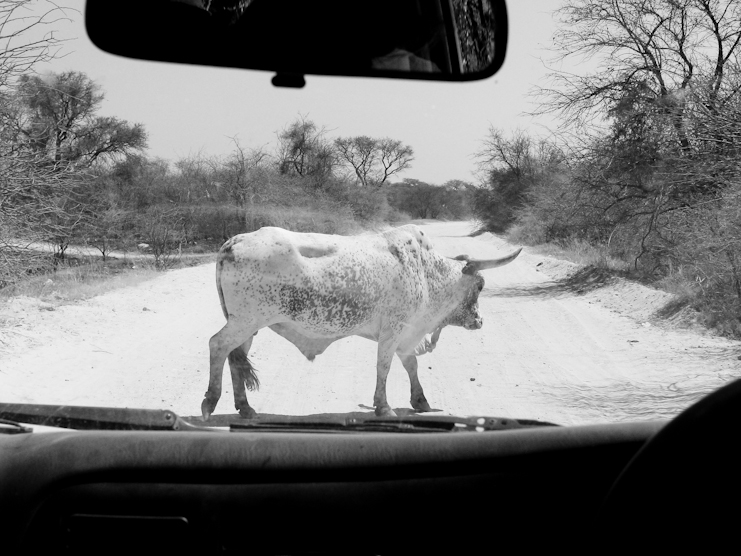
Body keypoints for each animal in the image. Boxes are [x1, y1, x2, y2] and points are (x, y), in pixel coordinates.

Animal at [199, 224, 516, 420]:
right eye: (480, 286)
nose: (479, 321)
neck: (426, 272)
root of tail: (234, 241)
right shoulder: (394, 330)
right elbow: (384, 367)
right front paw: (384, 407)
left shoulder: (405, 334)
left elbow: (411, 364)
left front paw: (420, 401)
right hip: (246, 321)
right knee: (217, 345)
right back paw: (210, 402)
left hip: (248, 326)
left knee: (235, 357)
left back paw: (245, 408)